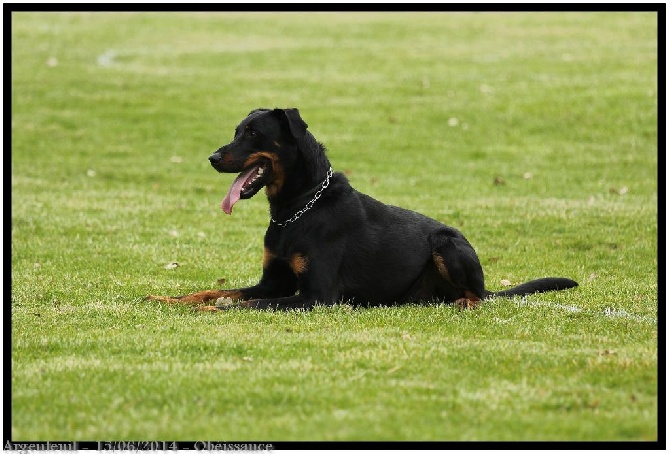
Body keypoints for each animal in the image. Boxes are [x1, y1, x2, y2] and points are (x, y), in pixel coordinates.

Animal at [147, 108, 576, 310]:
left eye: (252, 133)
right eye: (237, 131)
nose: (213, 158)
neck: (297, 208)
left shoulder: (316, 296)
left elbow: (249, 304)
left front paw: (213, 311)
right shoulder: (274, 282)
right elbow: (212, 292)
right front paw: (169, 301)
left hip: (447, 244)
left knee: (476, 296)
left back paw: (464, 303)